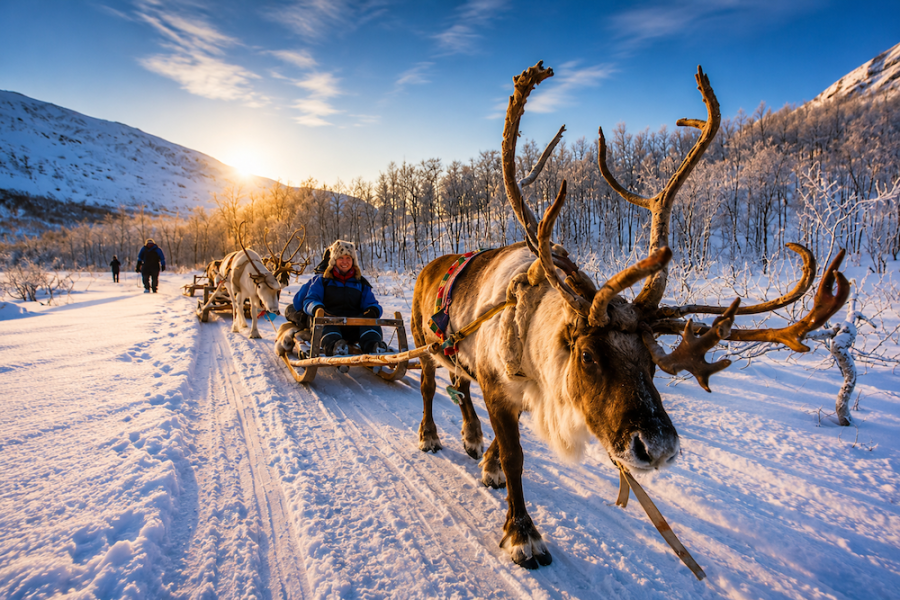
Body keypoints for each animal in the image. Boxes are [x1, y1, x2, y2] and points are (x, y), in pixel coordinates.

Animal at [409, 62, 850, 570]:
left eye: (651, 364)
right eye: (587, 356)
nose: (657, 448)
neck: (533, 339)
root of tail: (430, 265)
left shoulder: (518, 390)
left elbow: (505, 443)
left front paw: (489, 464)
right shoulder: (497, 386)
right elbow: (517, 456)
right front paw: (523, 534)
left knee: (457, 388)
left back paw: (471, 438)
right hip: (422, 345)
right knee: (428, 385)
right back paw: (429, 435)